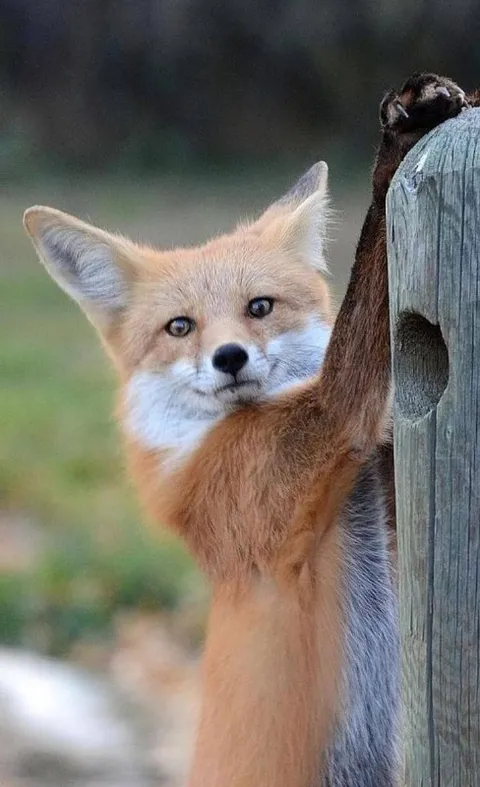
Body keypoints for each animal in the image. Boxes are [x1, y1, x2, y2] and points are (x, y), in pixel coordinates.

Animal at [23, 73, 470, 786]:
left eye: (259, 307)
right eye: (180, 327)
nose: (228, 358)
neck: (201, 448)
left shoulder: (385, 494)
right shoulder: (318, 440)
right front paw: (399, 139)